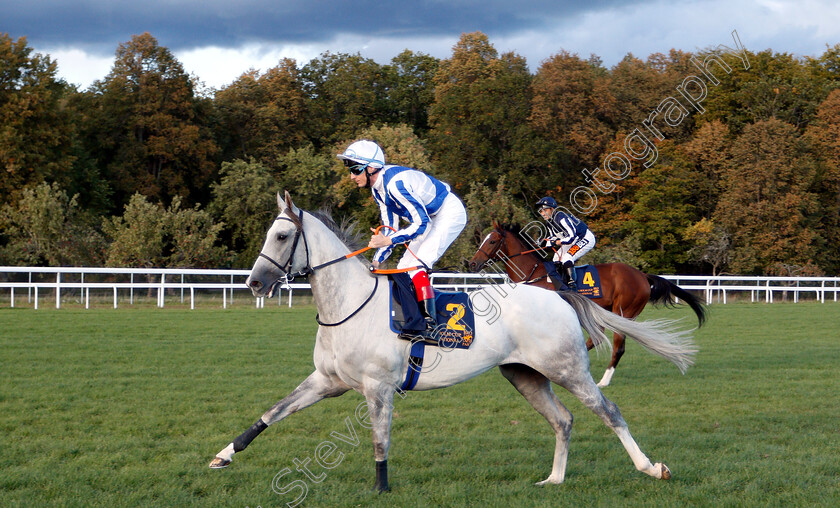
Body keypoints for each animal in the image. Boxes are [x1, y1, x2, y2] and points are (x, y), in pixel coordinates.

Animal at [470, 224, 704, 386]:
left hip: (624, 311)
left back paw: (604, 381)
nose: (471, 263)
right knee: (596, 339)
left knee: (618, 345)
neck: (534, 274)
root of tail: (641, 275)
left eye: (492, 242)